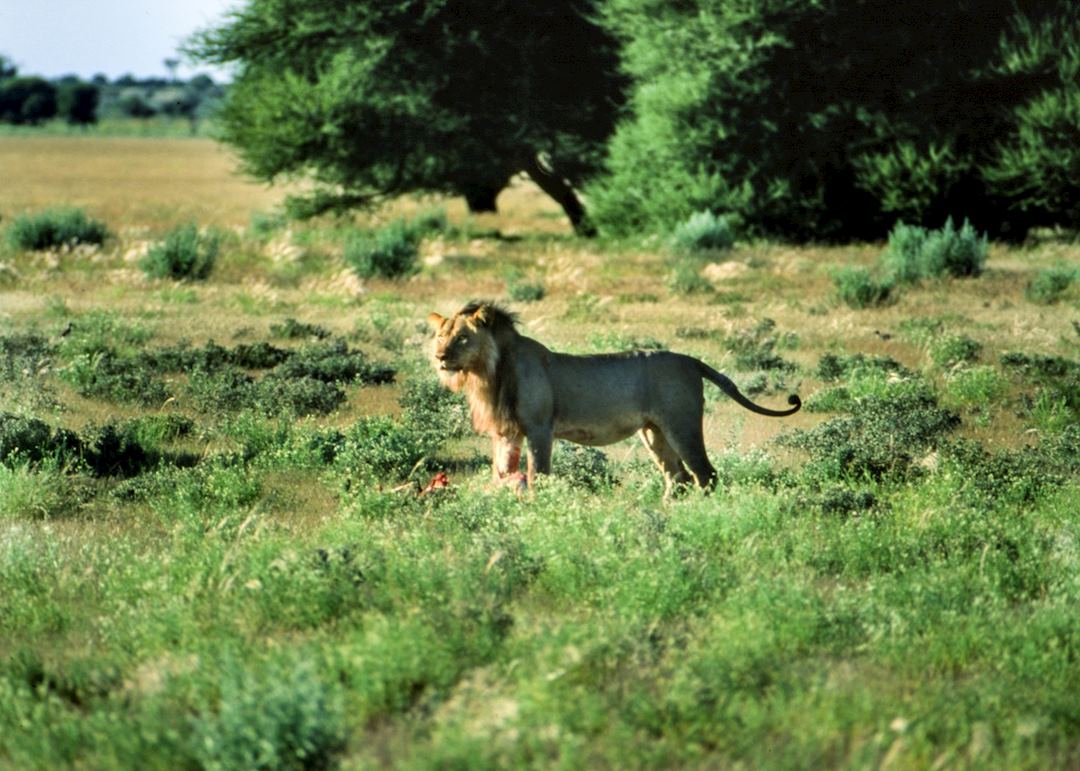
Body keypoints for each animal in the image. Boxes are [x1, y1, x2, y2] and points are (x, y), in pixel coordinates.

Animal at [427, 301, 801, 495]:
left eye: (461, 338)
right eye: (441, 335)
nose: (440, 356)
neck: (490, 372)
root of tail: (690, 360)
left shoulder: (539, 428)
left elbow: (538, 475)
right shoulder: (507, 432)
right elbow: (503, 473)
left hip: (682, 424)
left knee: (705, 473)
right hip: (655, 432)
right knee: (677, 476)